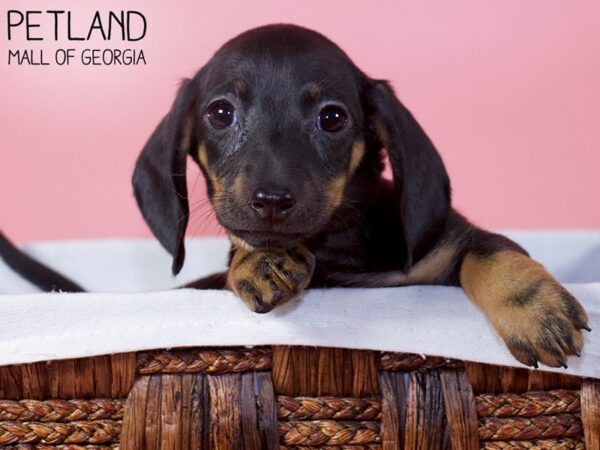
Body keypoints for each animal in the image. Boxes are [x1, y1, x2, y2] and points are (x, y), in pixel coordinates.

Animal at [0, 25, 592, 370]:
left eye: (332, 118)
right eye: (220, 113)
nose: (271, 199)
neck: (335, 252)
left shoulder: (443, 250)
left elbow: (488, 252)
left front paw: (534, 309)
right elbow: (239, 259)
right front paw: (261, 260)